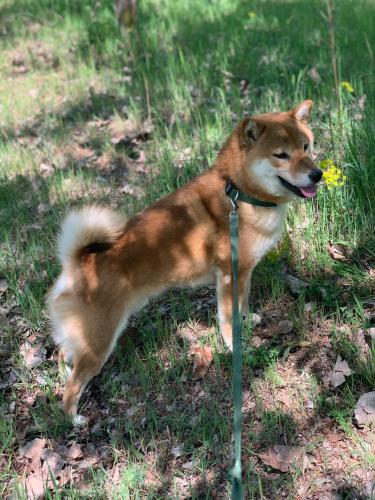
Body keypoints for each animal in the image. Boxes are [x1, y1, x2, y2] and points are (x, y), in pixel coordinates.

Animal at [47, 100, 324, 418]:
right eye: (281, 155)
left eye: (306, 146)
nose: (317, 174)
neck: (240, 194)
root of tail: (76, 262)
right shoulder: (229, 275)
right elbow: (228, 318)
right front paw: (235, 345)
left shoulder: (243, 273)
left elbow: (242, 304)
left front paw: (247, 319)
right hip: (98, 342)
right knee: (73, 385)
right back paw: (74, 418)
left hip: (81, 337)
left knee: (62, 354)